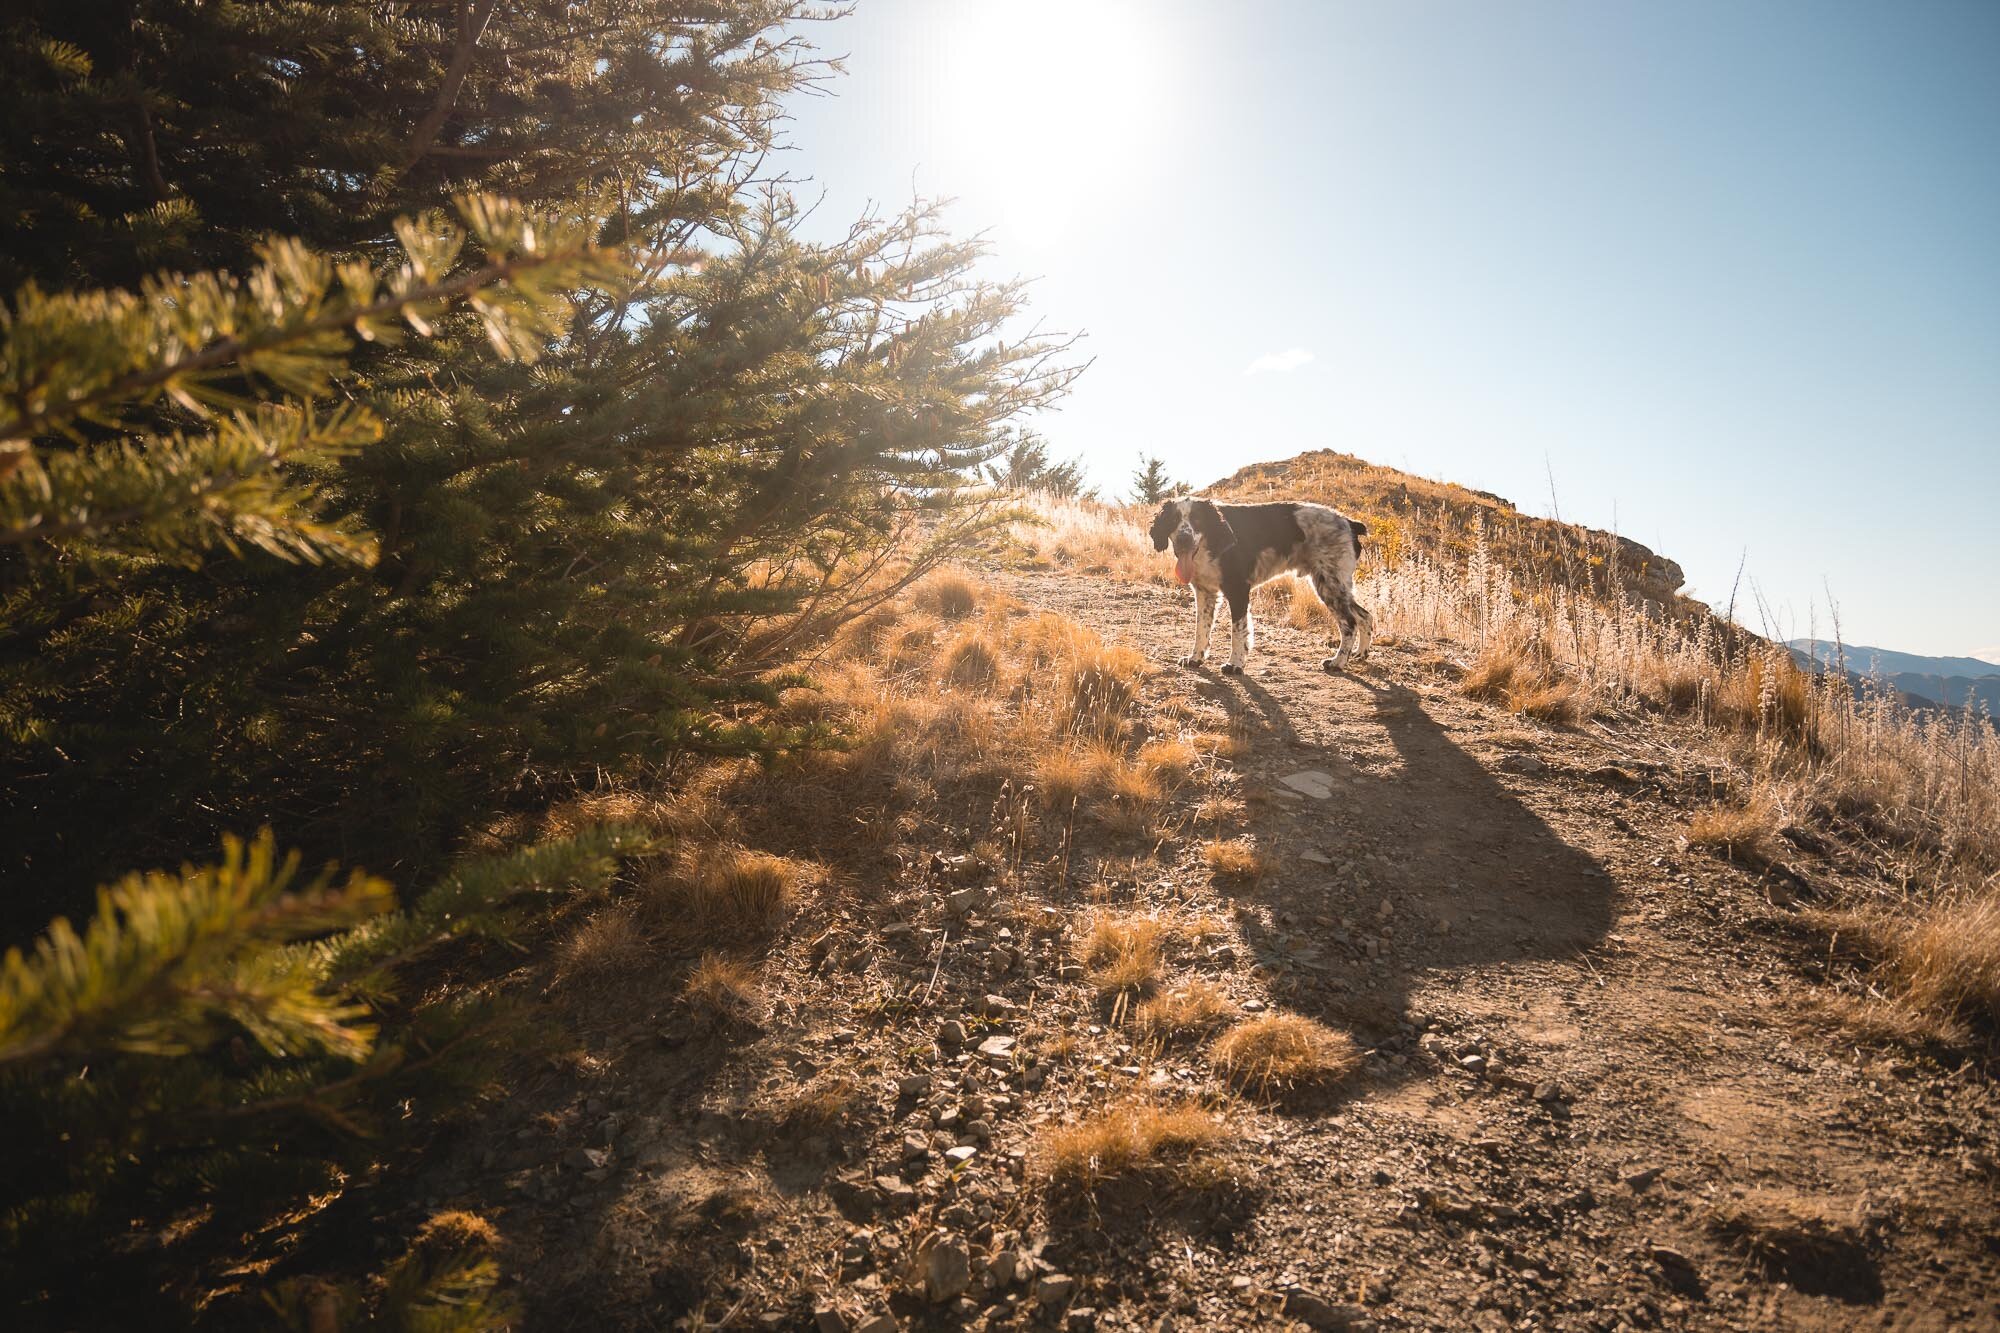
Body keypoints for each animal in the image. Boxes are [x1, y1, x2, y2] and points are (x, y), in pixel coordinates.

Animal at [1144, 492, 1376, 668]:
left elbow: (1238, 631)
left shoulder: (1238, 590)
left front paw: (1235, 664)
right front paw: (1195, 658)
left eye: (1198, 520)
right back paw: (1360, 653)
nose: (1184, 538)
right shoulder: (1205, 592)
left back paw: (1338, 662)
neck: (1214, 541)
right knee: (1365, 616)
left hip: (1329, 584)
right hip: (1338, 586)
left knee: (1350, 623)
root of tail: (1349, 522)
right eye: (1173, 520)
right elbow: (1202, 629)